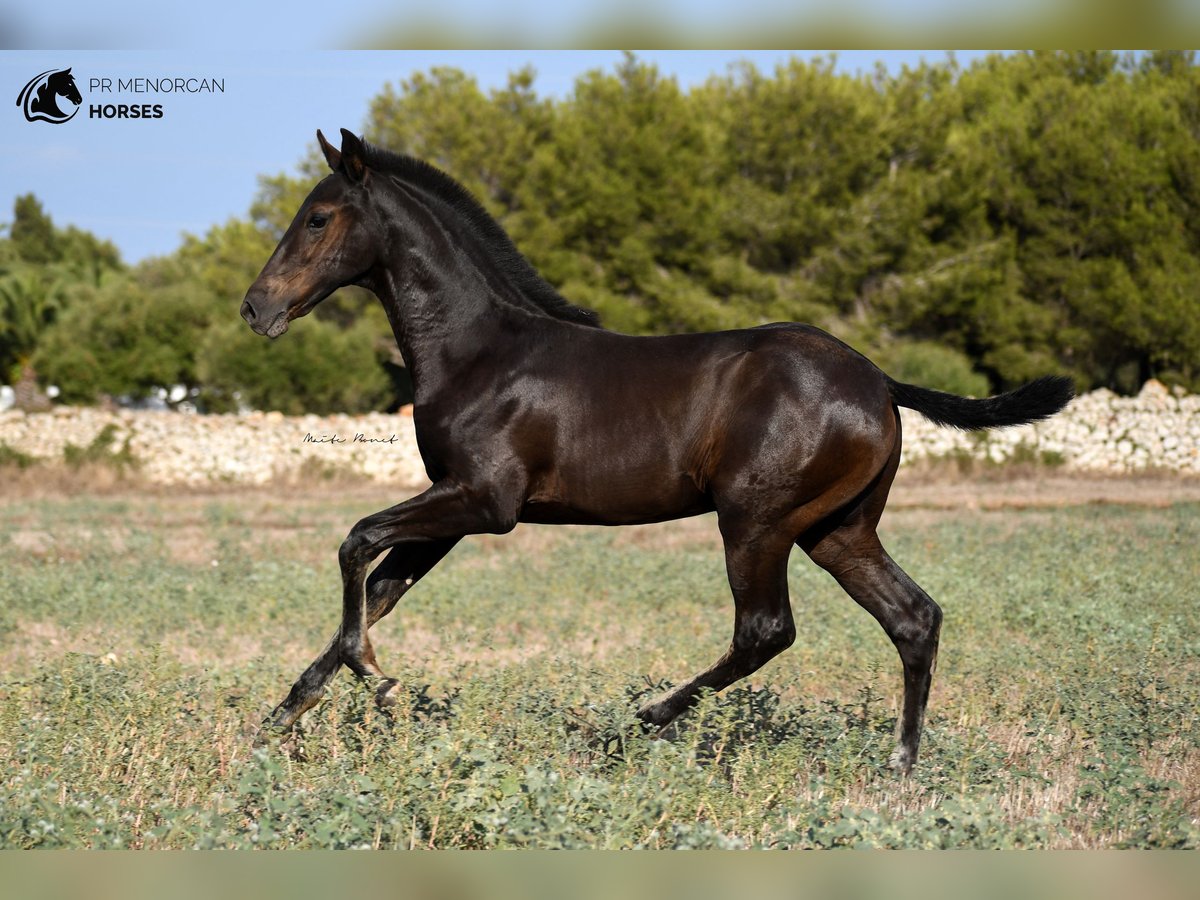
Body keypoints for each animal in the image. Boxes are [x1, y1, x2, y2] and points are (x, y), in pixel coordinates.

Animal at [241, 127, 1070, 777]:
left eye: (318, 218)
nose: (256, 307)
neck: (480, 351)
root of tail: (878, 380)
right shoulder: (452, 512)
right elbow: (378, 588)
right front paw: (281, 719)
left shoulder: (484, 501)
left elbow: (356, 543)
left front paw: (374, 679)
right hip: (838, 530)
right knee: (913, 617)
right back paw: (900, 766)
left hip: (757, 523)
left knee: (766, 630)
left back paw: (636, 722)